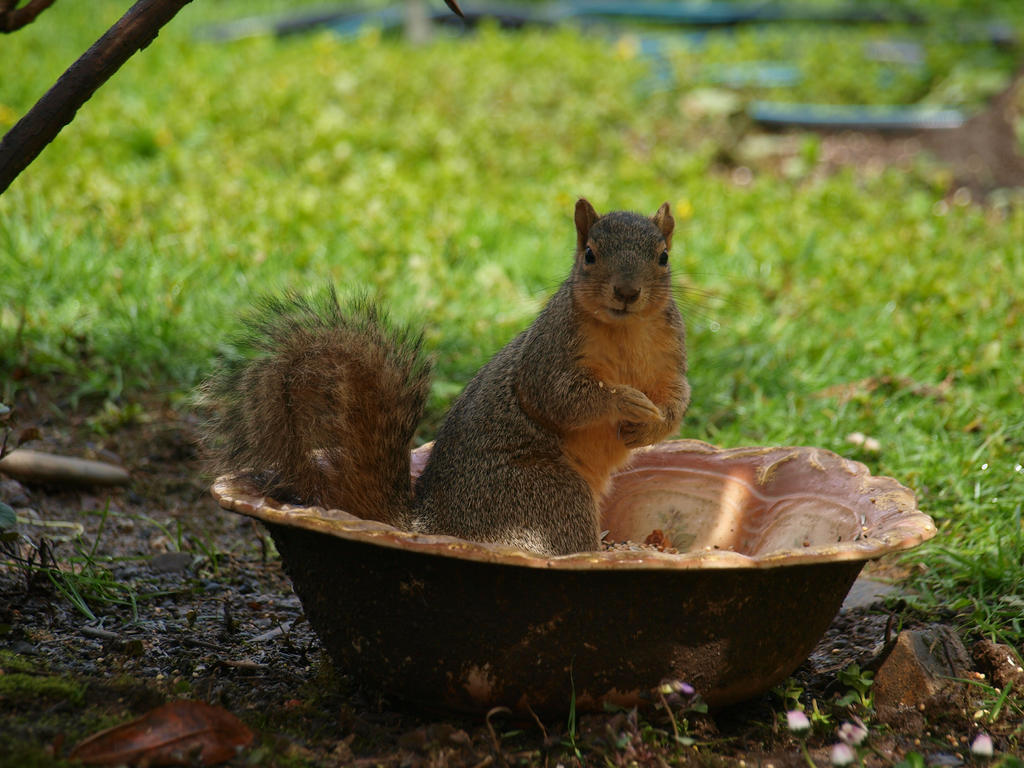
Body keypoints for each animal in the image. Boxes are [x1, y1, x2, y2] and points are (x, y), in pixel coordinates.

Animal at [198, 201, 688, 557]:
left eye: (664, 257)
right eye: (590, 254)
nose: (626, 292)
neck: (624, 332)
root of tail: (436, 525)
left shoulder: (670, 357)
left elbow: (678, 399)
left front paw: (652, 424)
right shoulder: (549, 355)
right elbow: (560, 397)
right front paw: (625, 401)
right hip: (545, 493)